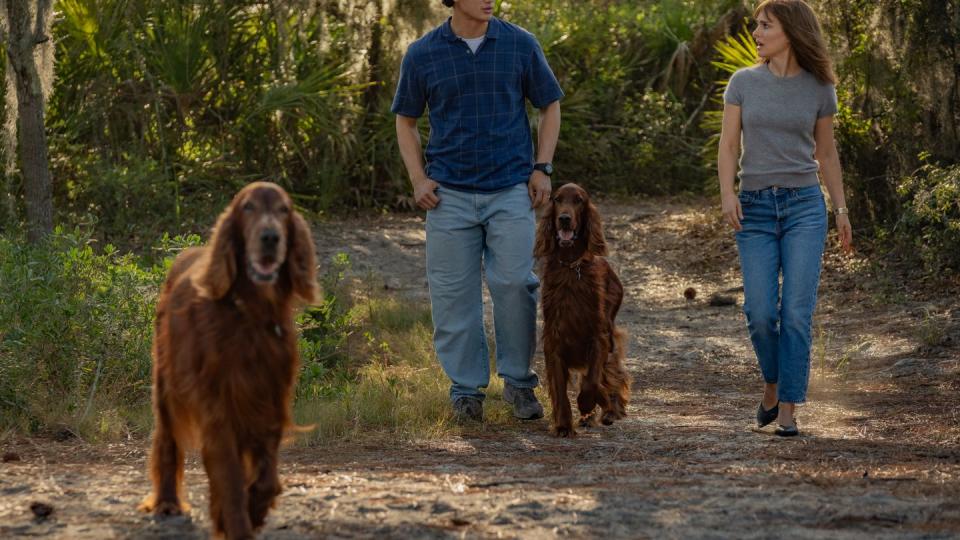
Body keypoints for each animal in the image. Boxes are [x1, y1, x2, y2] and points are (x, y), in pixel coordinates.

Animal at [141, 182, 316, 540]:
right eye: (248, 208)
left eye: (284, 210)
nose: (270, 237)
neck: (249, 312)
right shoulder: (217, 405)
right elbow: (230, 477)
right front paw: (236, 524)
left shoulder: (269, 400)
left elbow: (266, 479)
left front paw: (256, 511)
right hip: (166, 384)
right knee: (167, 440)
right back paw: (167, 501)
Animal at [532, 184, 632, 436]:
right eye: (557, 199)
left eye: (579, 200)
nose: (564, 219)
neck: (570, 267)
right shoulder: (554, 342)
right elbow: (560, 388)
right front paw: (563, 425)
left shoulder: (598, 338)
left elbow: (592, 383)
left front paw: (590, 404)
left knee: (612, 374)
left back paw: (610, 410)